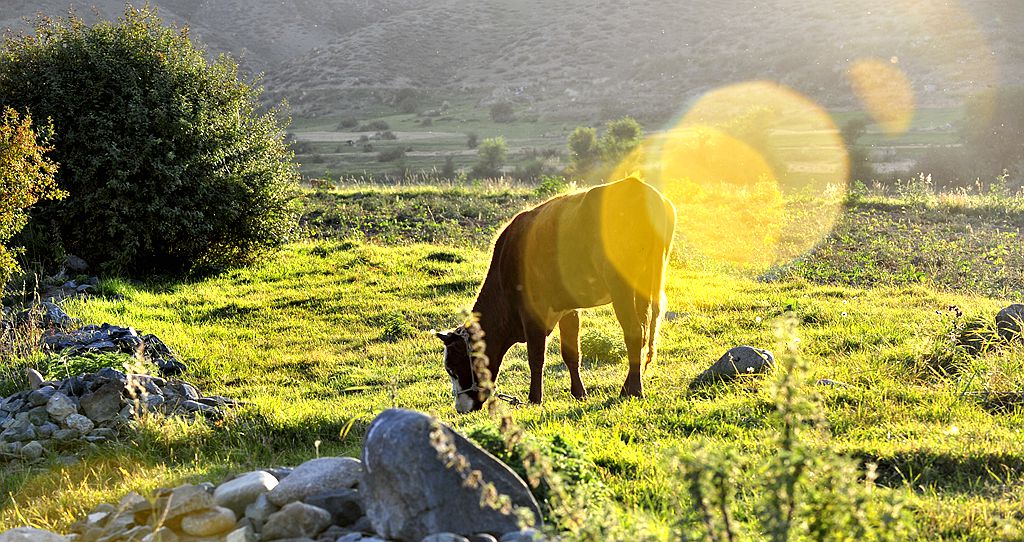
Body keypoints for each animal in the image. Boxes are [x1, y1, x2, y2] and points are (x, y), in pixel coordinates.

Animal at [436, 175, 675, 411]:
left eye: (453, 367)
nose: (460, 408)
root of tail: (640, 188)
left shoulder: (532, 311)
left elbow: (535, 357)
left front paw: (534, 398)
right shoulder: (568, 308)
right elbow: (571, 352)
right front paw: (579, 393)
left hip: (621, 286)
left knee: (634, 332)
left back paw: (634, 390)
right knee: (644, 331)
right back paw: (629, 386)